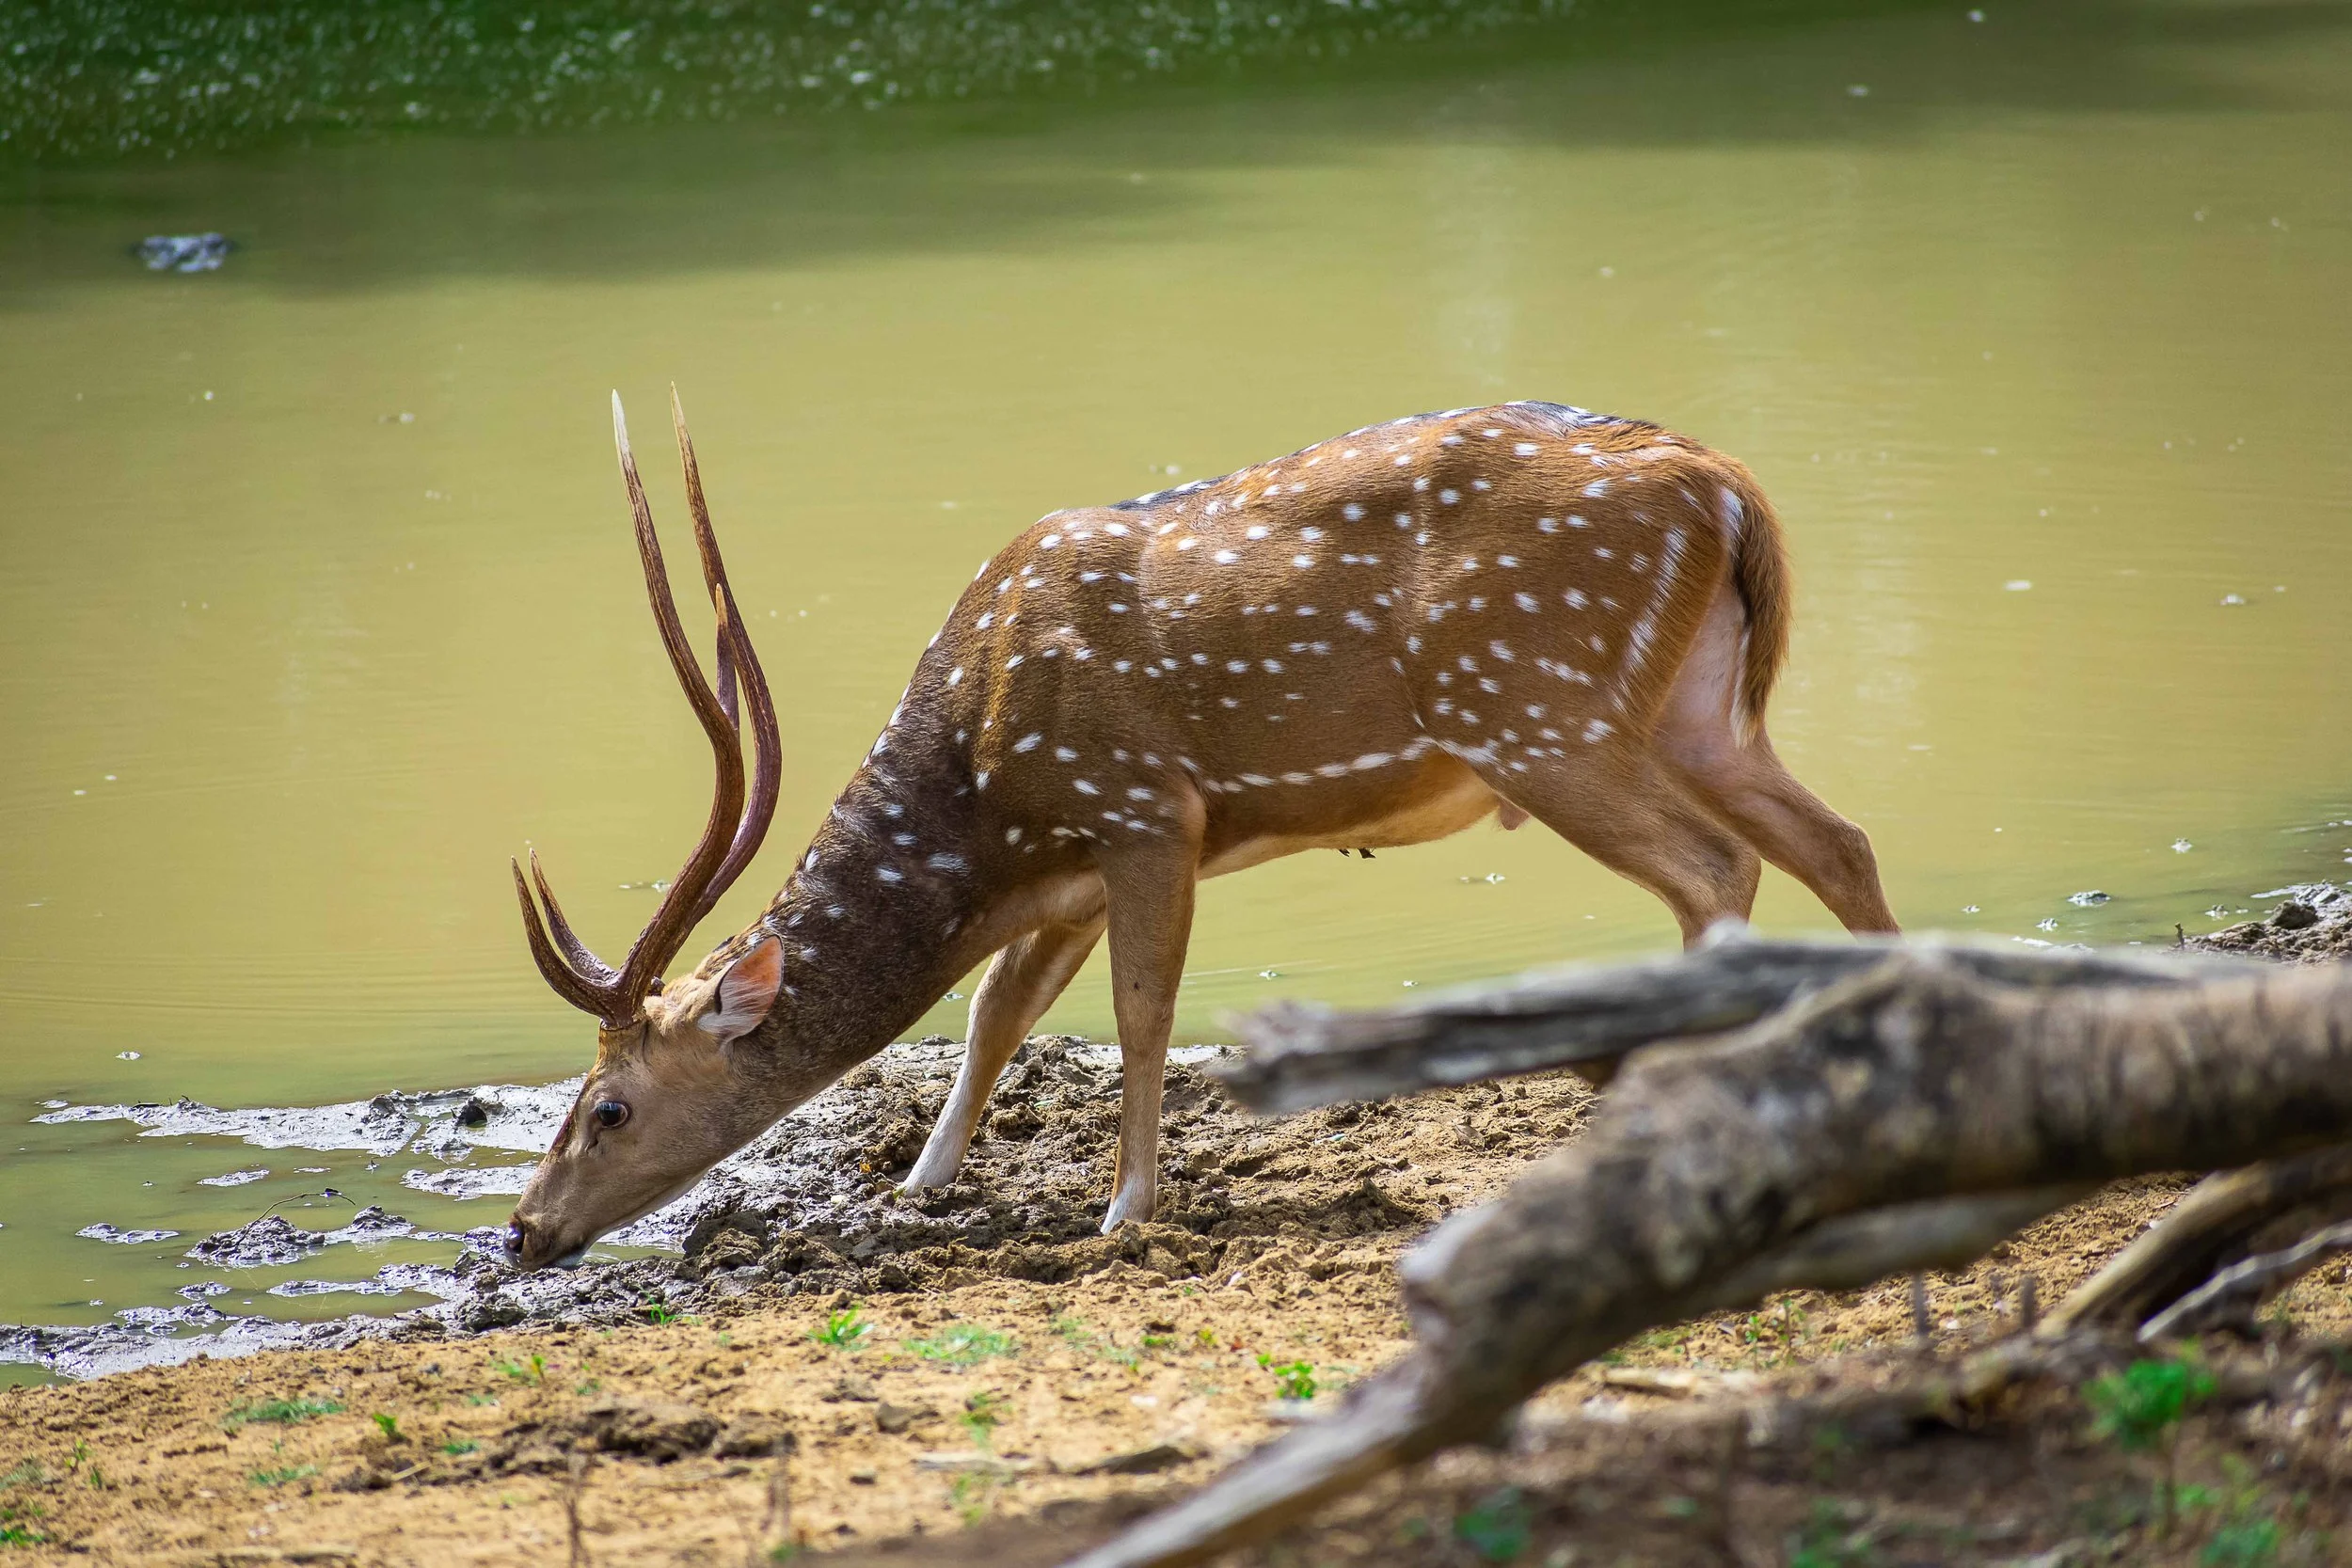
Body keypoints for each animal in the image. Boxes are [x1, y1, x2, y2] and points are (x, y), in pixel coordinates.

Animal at [499, 390, 1898, 1270]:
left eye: (609, 1106)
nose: (521, 1229)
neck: (984, 791)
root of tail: (1724, 488)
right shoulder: (1065, 871)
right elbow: (997, 1011)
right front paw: (918, 1183)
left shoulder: (1141, 807)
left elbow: (1140, 1011)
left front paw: (1126, 1210)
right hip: (1695, 708)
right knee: (1839, 838)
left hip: (1534, 708)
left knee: (1718, 866)